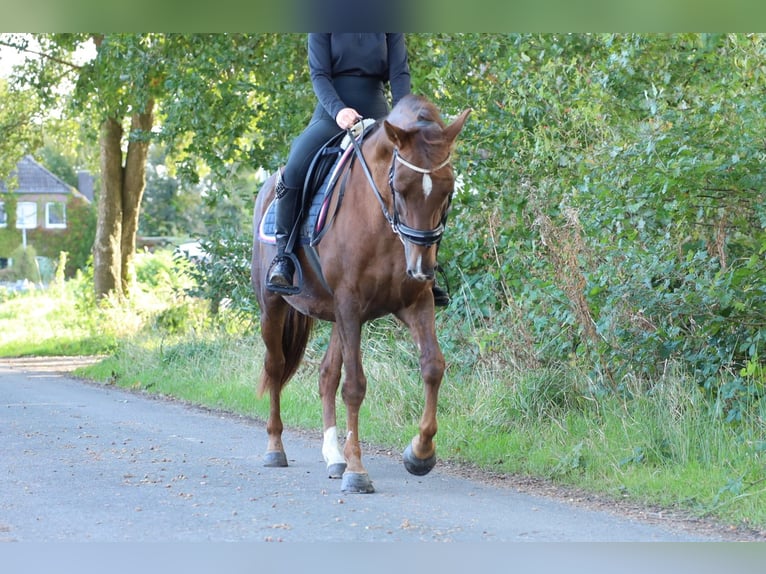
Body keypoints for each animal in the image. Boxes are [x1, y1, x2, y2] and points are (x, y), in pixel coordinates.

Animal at [252, 95, 472, 496]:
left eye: (447, 190)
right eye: (401, 187)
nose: (422, 267)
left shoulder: (414, 303)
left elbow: (433, 366)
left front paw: (420, 453)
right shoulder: (350, 305)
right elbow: (354, 386)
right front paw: (357, 471)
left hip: (336, 314)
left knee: (326, 374)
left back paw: (334, 456)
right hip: (274, 307)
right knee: (275, 366)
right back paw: (276, 448)